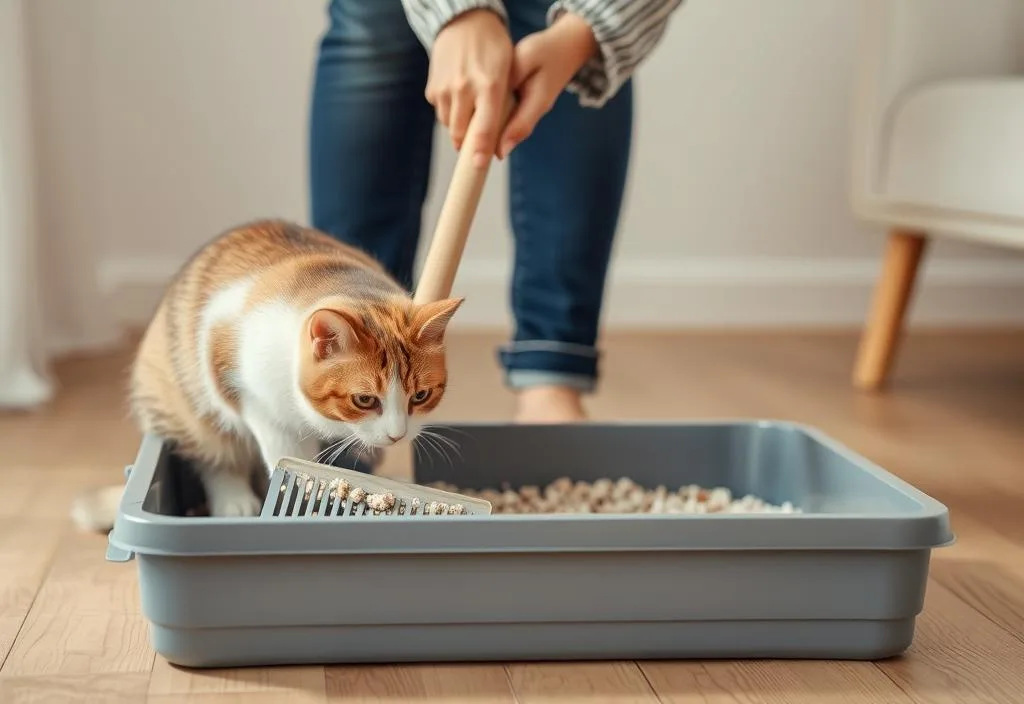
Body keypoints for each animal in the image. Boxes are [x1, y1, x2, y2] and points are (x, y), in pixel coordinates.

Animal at [74, 216, 464, 532]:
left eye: (421, 396)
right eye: (364, 400)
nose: (398, 435)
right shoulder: (244, 387)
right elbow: (284, 453)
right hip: (184, 404)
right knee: (213, 452)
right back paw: (235, 499)